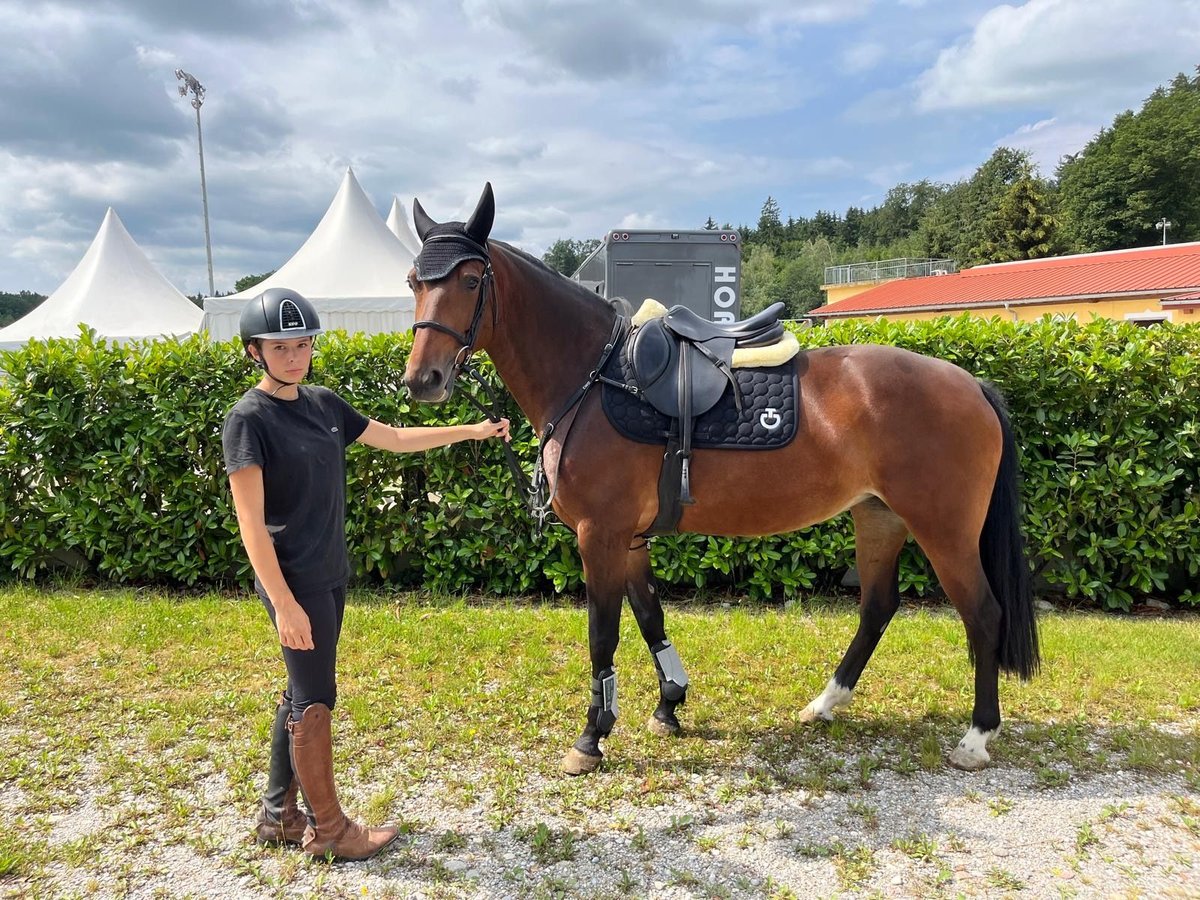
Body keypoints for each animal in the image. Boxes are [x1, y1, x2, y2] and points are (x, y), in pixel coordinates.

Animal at [398, 183, 1036, 777]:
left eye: (472, 280)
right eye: (413, 281)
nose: (424, 379)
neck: (594, 379)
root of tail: (971, 384)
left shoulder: (599, 534)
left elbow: (603, 632)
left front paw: (591, 737)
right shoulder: (629, 538)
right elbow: (650, 616)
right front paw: (668, 705)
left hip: (944, 529)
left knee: (984, 614)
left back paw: (976, 737)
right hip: (879, 517)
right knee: (878, 607)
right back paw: (825, 704)